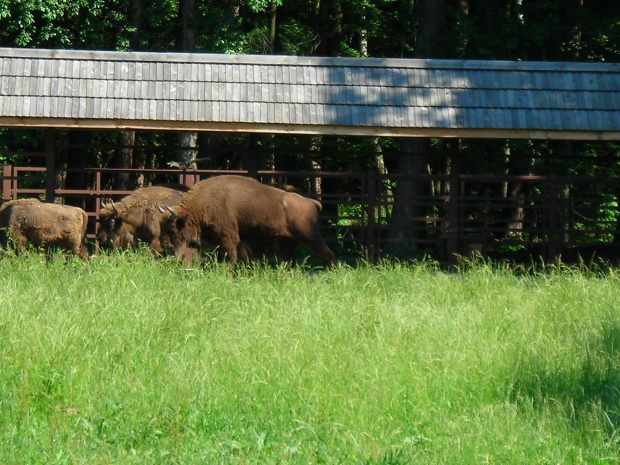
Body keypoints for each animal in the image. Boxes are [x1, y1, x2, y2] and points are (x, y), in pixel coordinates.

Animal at [159, 176, 334, 266]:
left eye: (172, 228)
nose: (164, 245)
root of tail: (310, 201)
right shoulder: (239, 241)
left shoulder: (228, 239)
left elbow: (230, 259)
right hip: (286, 241)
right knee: (290, 260)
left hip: (310, 236)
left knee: (327, 254)